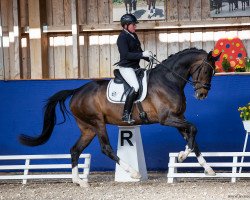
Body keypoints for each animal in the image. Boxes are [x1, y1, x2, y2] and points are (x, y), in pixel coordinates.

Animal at [19, 47, 221, 187]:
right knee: (106, 148)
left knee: (75, 150)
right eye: (206, 70)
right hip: (98, 123)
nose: (202, 95)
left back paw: (79, 181)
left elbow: (192, 139)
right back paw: (133, 173)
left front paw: (207, 168)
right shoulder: (167, 118)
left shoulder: (178, 116)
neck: (168, 80)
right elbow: (193, 129)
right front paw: (181, 156)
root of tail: (76, 91)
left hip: (87, 129)